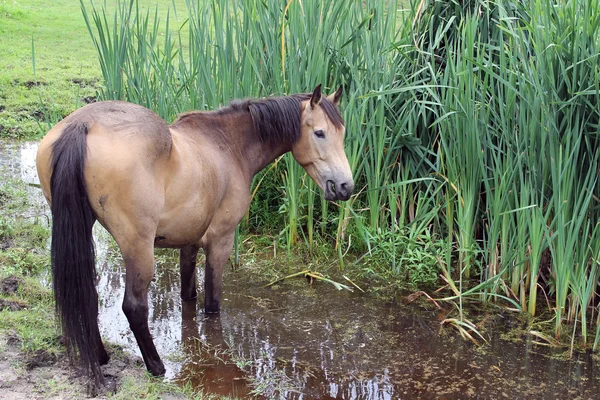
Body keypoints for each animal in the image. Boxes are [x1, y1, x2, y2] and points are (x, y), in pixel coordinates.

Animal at [35, 83, 354, 384]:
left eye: (342, 133)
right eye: (320, 133)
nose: (345, 187)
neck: (228, 146)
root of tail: (84, 125)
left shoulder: (188, 241)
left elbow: (188, 294)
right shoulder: (220, 240)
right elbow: (212, 301)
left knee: (87, 294)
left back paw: (100, 355)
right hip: (138, 247)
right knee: (134, 306)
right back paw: (156, 366)